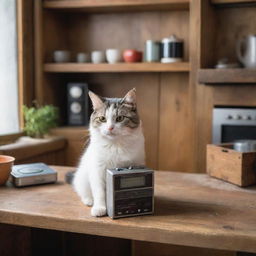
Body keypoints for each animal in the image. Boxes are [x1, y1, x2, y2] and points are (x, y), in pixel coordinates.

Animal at [73, 87, 145, 216]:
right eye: (102, 119)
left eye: (120, 118)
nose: (110, 128)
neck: (115, 145)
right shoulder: (97, 169)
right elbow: (99, 192)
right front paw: (100, 208)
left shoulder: (136, 163)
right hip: (82, 179)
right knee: (83, 192)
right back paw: (89, 201)